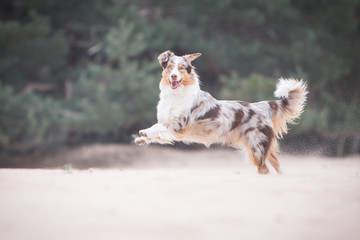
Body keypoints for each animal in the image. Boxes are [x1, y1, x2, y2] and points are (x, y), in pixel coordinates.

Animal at [134, 50, 308, 174]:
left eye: (182, 69)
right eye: (169, 67)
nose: (174, 76)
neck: (176, 95)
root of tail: (262, 106)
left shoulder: (179, 124)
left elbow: (158, 127)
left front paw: (144, 132)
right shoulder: (171, 127)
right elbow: (158, 131)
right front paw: (142, 138)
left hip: (256, 147)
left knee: (264, 169)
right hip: (264, 148)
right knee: (277, 166)